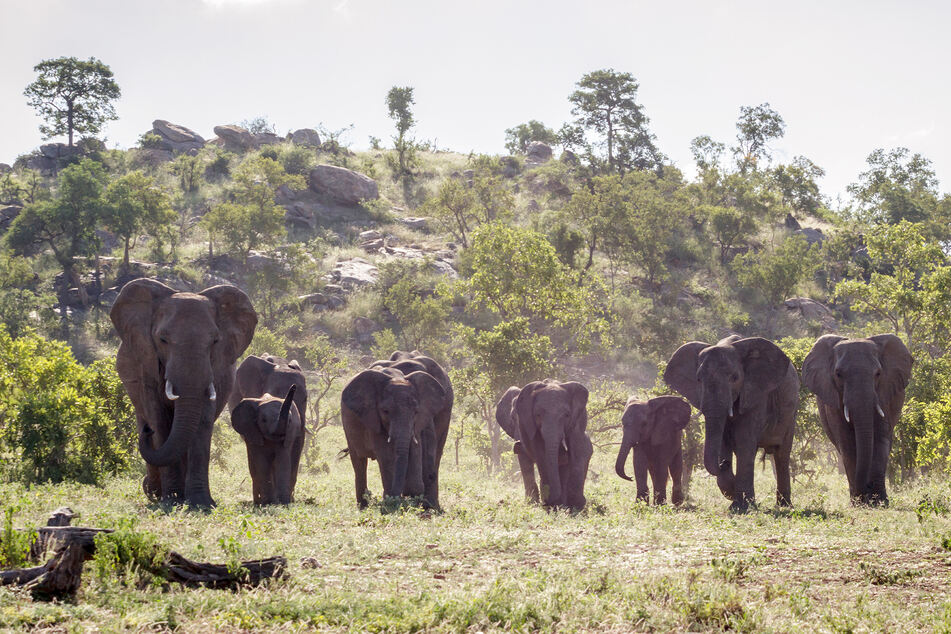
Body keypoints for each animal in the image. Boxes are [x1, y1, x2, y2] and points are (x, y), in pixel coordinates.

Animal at [110, 278, 257, 507]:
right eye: (162, 340)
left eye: (215, 341)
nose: (146, 431)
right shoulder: (146, 364)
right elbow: (159, 420)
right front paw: (171, 500)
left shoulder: (215, 370)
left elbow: (202, 421)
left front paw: (201, 503)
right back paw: (155, 492)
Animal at [341, 366, 447, 509]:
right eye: (385, 411)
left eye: (416, 412)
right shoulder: (373, 419)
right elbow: (386, 456)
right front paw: (390, 505)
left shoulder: (418, 422)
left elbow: (414, 450)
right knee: (359, 463)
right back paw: (363, 506)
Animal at [505, 379, 593, 510]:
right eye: (538, 415)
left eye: (567, 415)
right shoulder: (528, 424)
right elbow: (540, 451)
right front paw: (552, 503)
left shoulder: (578, 418)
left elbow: (577, 447)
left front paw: (575, 505)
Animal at [664, 336, 799, 511]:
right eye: (699, 379)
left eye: (734, 378)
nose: (724, 463)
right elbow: (723, 440)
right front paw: (735, 496)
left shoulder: (756, 393)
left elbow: (745, 441)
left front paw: (742, 507)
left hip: (791, 412)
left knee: (781, 454)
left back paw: (784, 506)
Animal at [802, 334, 912, 506]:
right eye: (838, 374)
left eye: (878, 373)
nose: (867, 487)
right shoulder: (833, 401)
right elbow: (846, 441)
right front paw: (860, 502)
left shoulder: (883, 394)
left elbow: (879, 438)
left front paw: (880, 502)